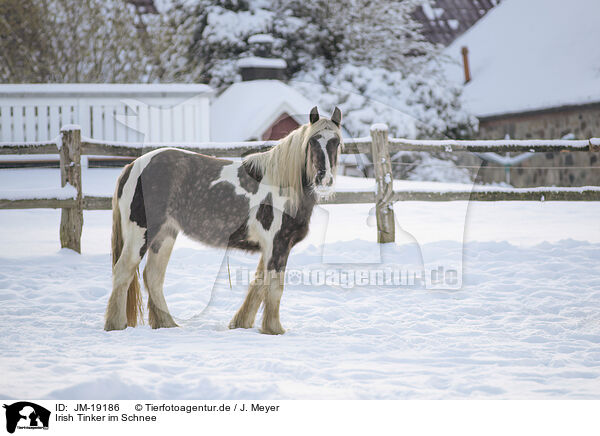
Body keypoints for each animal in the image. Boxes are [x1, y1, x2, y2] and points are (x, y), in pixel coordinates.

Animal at [103, 105, 342, 334]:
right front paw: (274, 329)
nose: (324, 179)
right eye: (312, 141)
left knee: (152, 276)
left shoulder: (270, 248)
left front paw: (241, 323)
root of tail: (132, 167)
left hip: (165, 235)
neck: (283, 185)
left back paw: (167, 324)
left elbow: (258, 285)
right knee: (123, 271)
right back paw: (116, 325)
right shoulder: (278, 245)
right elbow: (274, 288)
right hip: (141, 233)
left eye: (337, 142)